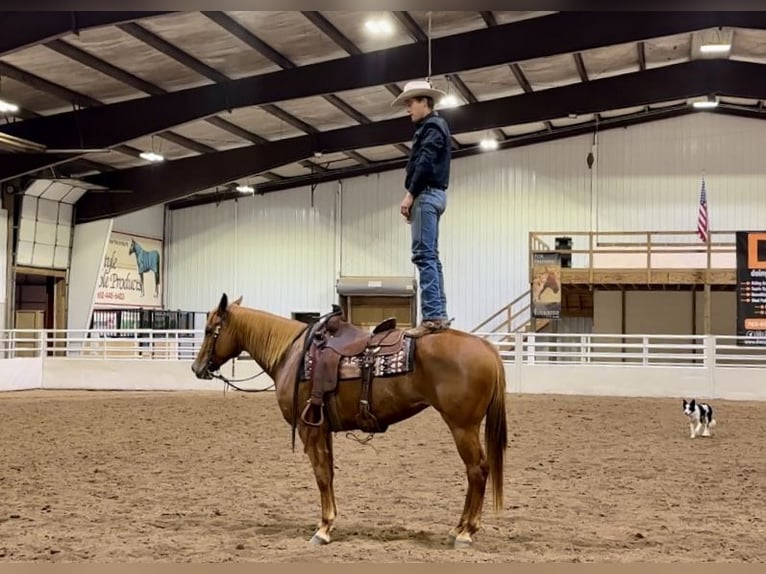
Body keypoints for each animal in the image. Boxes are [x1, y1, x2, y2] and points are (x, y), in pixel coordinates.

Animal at [190, 294, 510, 552]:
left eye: (208, 330)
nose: (196, 367)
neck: (292, 355)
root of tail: (485, 346)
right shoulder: (322, 428)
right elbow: (329, 473)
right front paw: (329, 523)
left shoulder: (309, 429)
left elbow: (321, 475)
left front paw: (322, 529)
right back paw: (458, 528)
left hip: (462, 426)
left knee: (477, 470)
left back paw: (466, 533)